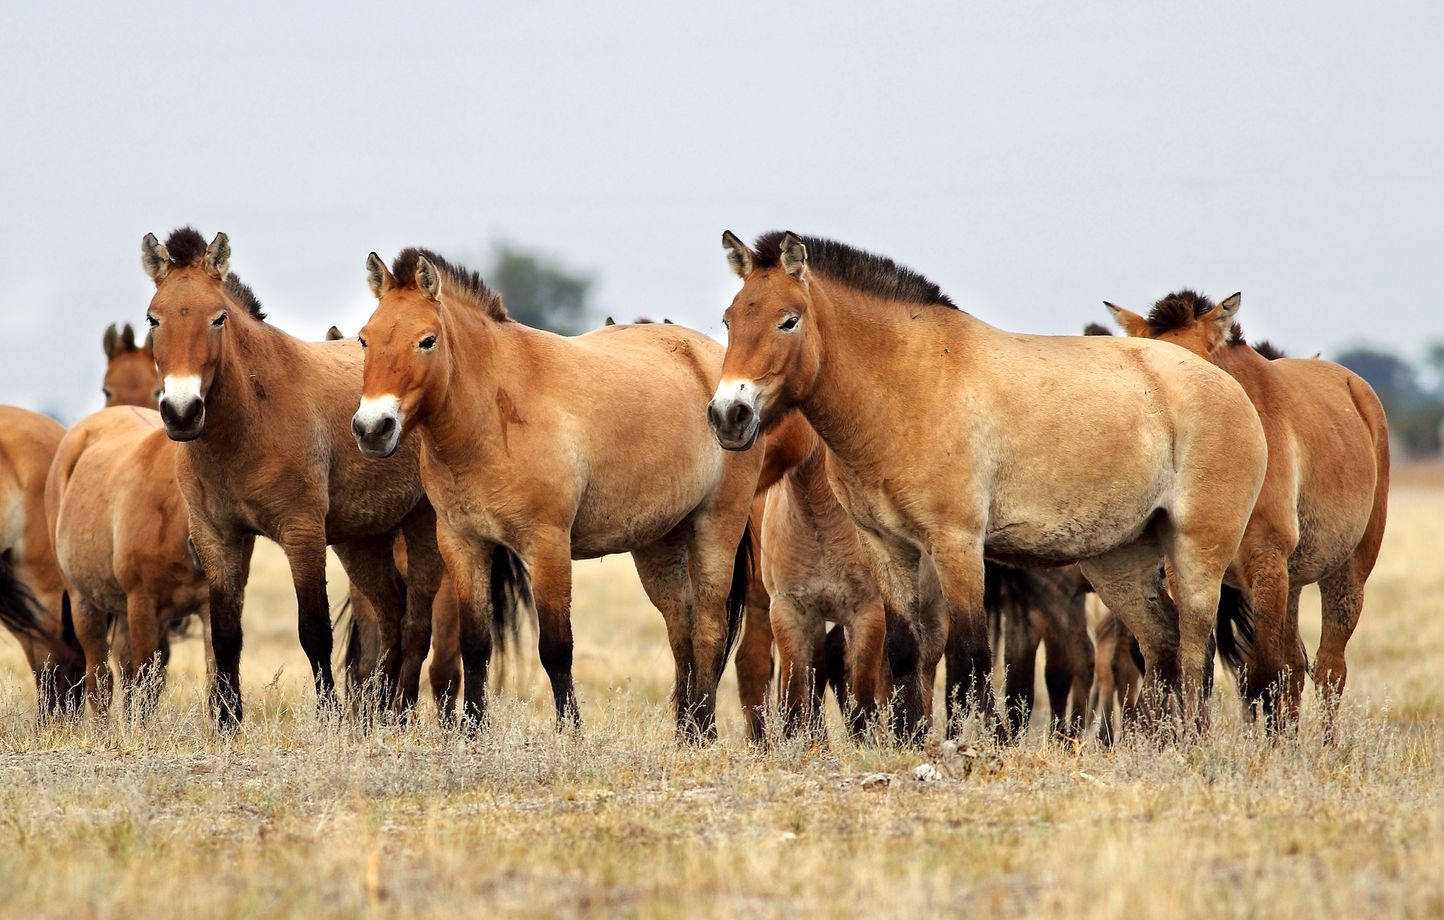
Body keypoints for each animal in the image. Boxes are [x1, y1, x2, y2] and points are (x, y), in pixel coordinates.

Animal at [140, 226, 450, 727]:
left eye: (218, 318)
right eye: (153, 319)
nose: (182, 412)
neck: (250, 419)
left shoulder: (301, 533)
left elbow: (314, 630)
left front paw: (328, 718)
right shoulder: (217, 537)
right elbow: (225, 633)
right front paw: (227, 721)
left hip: (422, 527)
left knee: (416, 622)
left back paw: (399, 712)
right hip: (363, 540)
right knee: (390, 616)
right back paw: (380, 714)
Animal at [351, 252, 760, 741]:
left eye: (426, 341)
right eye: (365, 340)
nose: (372, 428)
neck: (494, 412)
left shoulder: (547, 545)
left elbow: (556, 647)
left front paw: (571, 734)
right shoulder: (463, 543)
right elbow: (475, 645)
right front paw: (473, 732)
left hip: (717, 527)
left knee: (710, 630)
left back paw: (704, 731)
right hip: (659, 544)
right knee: (681, 629)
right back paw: (685, 731)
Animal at [709, 231, 1267, 742]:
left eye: (789, 320)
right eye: (730, 320)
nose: (728, 415)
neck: (906, 385)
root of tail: (1230, 389)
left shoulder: (957, 545)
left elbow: (969, 657)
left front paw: (976, 743)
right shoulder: (887, 547)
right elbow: (905, 654)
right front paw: (910, 741)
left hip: (1197, 551)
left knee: (1195, 649)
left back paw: (1192, 744)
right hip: (1119, 560)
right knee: (1161, 645)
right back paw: (1157, 745)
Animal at [1103, 291, 1389, 731]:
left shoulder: (1266, 564)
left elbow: (1263, 677)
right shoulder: (1189, 571)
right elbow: (1199, 663)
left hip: (1347, 574)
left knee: (1329, 669)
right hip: (1294, 582)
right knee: (1296, 667)